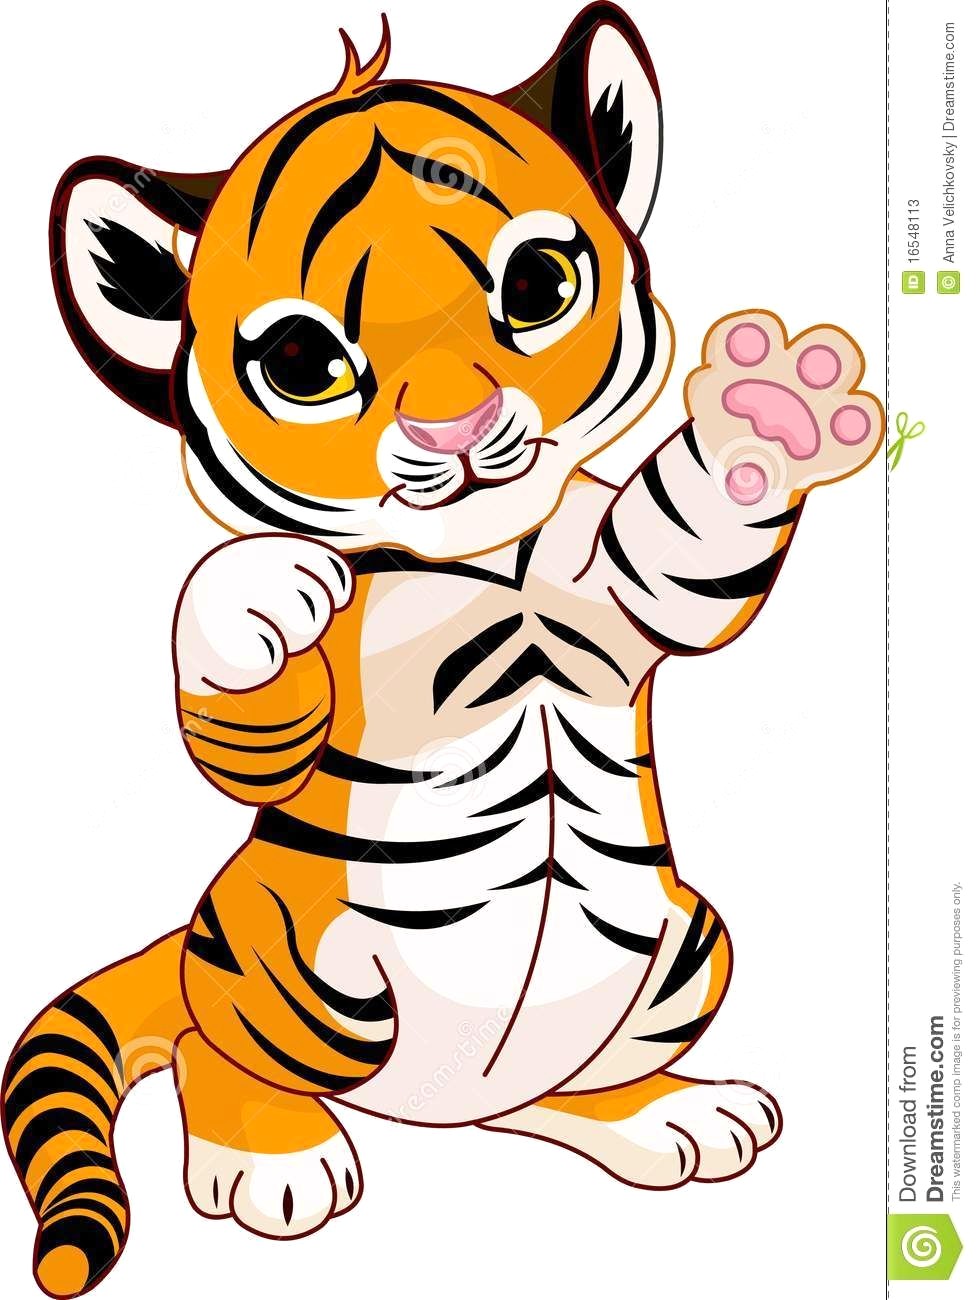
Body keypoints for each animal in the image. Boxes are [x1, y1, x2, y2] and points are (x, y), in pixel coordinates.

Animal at [2, 6, 883, 1297]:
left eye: (537, 286)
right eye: (304, 364)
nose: (453, 422)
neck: (491, 562)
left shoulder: (631, 578)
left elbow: (689, 550)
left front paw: (764, 421)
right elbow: (251, 726)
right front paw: (253, 586)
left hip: (683, 945)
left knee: (535, 1091)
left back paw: (660, 1112)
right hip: (300, 969)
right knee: (223, 1048)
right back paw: (273, 1153)